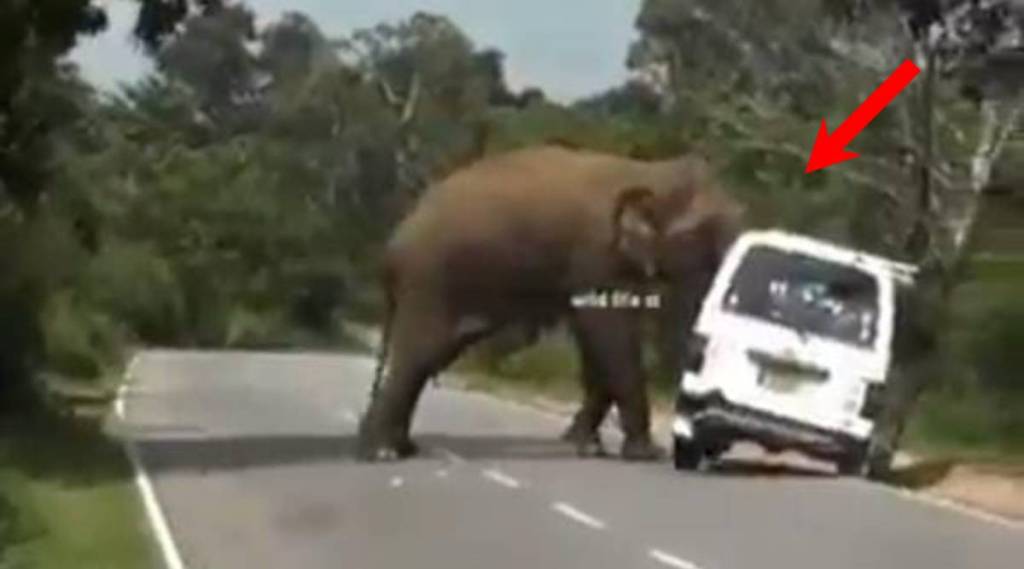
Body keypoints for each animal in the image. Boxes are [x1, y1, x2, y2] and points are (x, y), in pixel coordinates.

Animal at [356, 144, 741, 460]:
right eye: (708, 230)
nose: (712, 448)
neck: (648, 171)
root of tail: (392, 246)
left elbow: (595, 345)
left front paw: (584, 446)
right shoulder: (595, 255)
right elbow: (609, 337)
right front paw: (645, 454)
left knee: (434, 353)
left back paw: (396, 447)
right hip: (430, 279)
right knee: (421, 351)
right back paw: (384, 452)